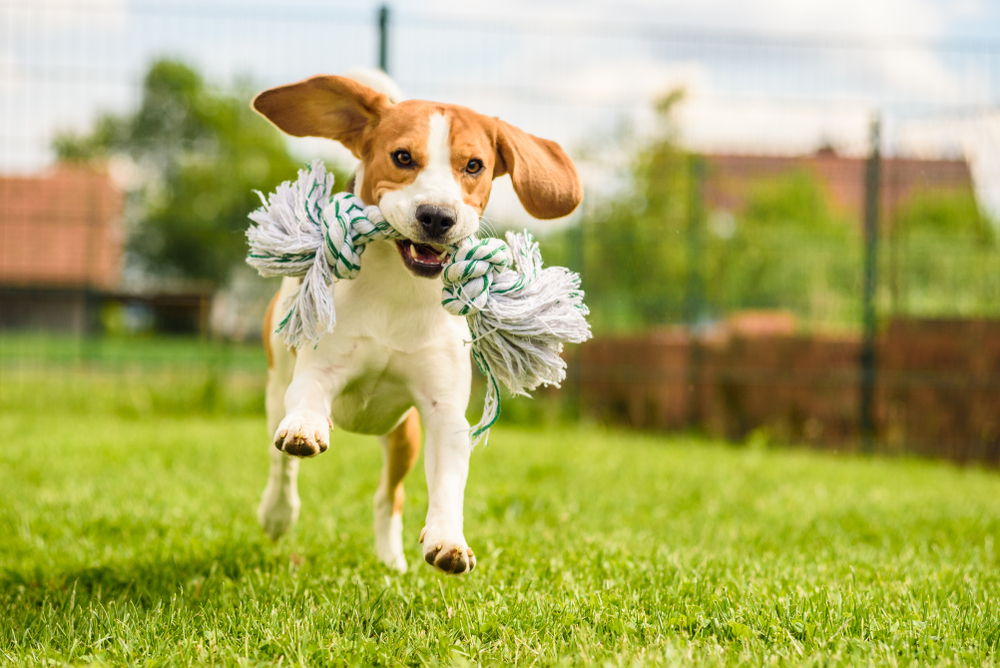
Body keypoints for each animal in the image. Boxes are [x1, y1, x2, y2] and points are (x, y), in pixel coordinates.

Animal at [250, 73, 584, 576]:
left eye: (474, 165)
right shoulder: (318, 372)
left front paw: (448, 540)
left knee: (389, 497)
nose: (437, 216)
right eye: (403, 157)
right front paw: (305, 430)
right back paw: (277, 512)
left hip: (402, 434)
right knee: (280, 464)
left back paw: (391, 561)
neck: (399, 294)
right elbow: (305, 406)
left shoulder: (443, 411)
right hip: (276, 389)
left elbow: (447, 482)